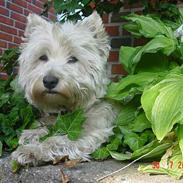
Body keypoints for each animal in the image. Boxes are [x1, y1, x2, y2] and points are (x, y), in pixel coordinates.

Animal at [12, 11, 119, 166]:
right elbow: (47, 127)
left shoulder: (92, 131)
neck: (68, 110)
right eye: (43, 57)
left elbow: (57, 140)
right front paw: (32, 133)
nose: (49, 81)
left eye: (73, 59)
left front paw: (32, 150)